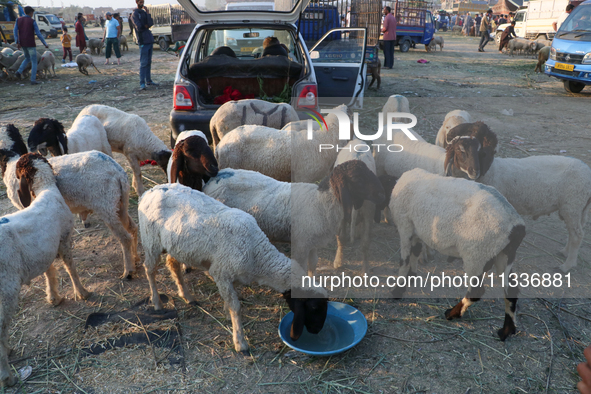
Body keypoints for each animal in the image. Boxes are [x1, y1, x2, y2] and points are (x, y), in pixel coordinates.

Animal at [0, 124, 140, 278]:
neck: (11, 161)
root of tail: (118, 172)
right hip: (119, 204)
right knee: (133, 228)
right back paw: (136, 260)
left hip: (107, 207)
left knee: (125, 238)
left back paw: (128, 271)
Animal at [0, 152, 90, 386]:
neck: (46, 190)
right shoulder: (64, 238)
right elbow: (70, 266)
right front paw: (82, 292)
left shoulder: (46, 248)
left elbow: (49, 272)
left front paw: (54, 298)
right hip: (6, 292)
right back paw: (8, 377)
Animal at [139, 183, 330, 352]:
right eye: (314, 307)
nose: (317, 331)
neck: (257, 253)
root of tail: (150, 191)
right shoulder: (221, 272)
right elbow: (236, 307)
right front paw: (240, 342)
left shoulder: (233, 275)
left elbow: (231, 300)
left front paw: (226, 312)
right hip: (150, 241)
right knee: (149, 270)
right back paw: (157, 301)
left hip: (176, 245)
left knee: (172, 264)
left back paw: (187, 295)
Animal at [388, 168, 528, 340]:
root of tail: (516, 226)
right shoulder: (417, 230)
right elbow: (415, 252)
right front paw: (411, 276)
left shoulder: (405, 226)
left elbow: (404, 260)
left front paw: (397, 290)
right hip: (503, 254)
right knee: (511, 290)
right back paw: (506, 331)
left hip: (477, 254)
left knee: (476, 292)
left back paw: (452, 313)